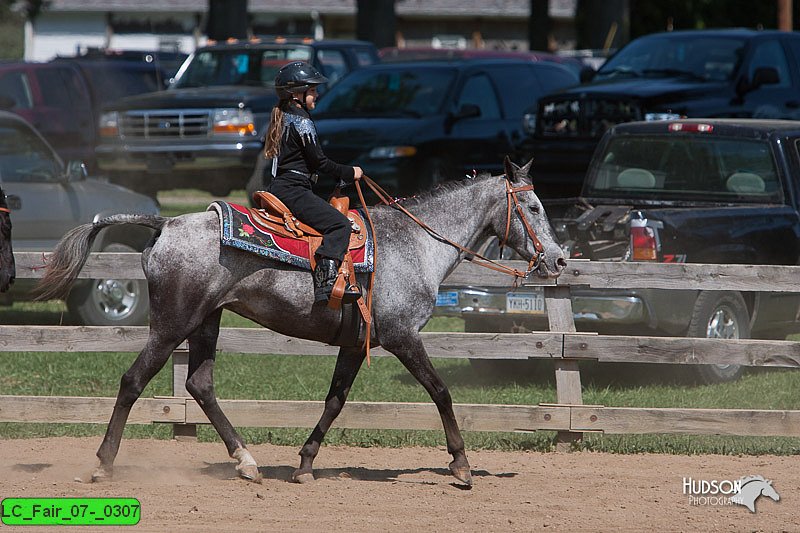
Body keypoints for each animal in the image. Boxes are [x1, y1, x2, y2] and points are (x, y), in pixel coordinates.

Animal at [36, 156, 564, 484]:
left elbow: (335, 401)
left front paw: (305, 464)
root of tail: (166, 224)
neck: (414, 245)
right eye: (533, 206)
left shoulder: (354, 344)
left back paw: (247, 461)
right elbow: (441, 392)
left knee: (200, 385)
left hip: (207, 321)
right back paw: (104, 464)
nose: (558, 259)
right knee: (132, 380)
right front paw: (461, 465)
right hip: (171, 325)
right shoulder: (402, 337)